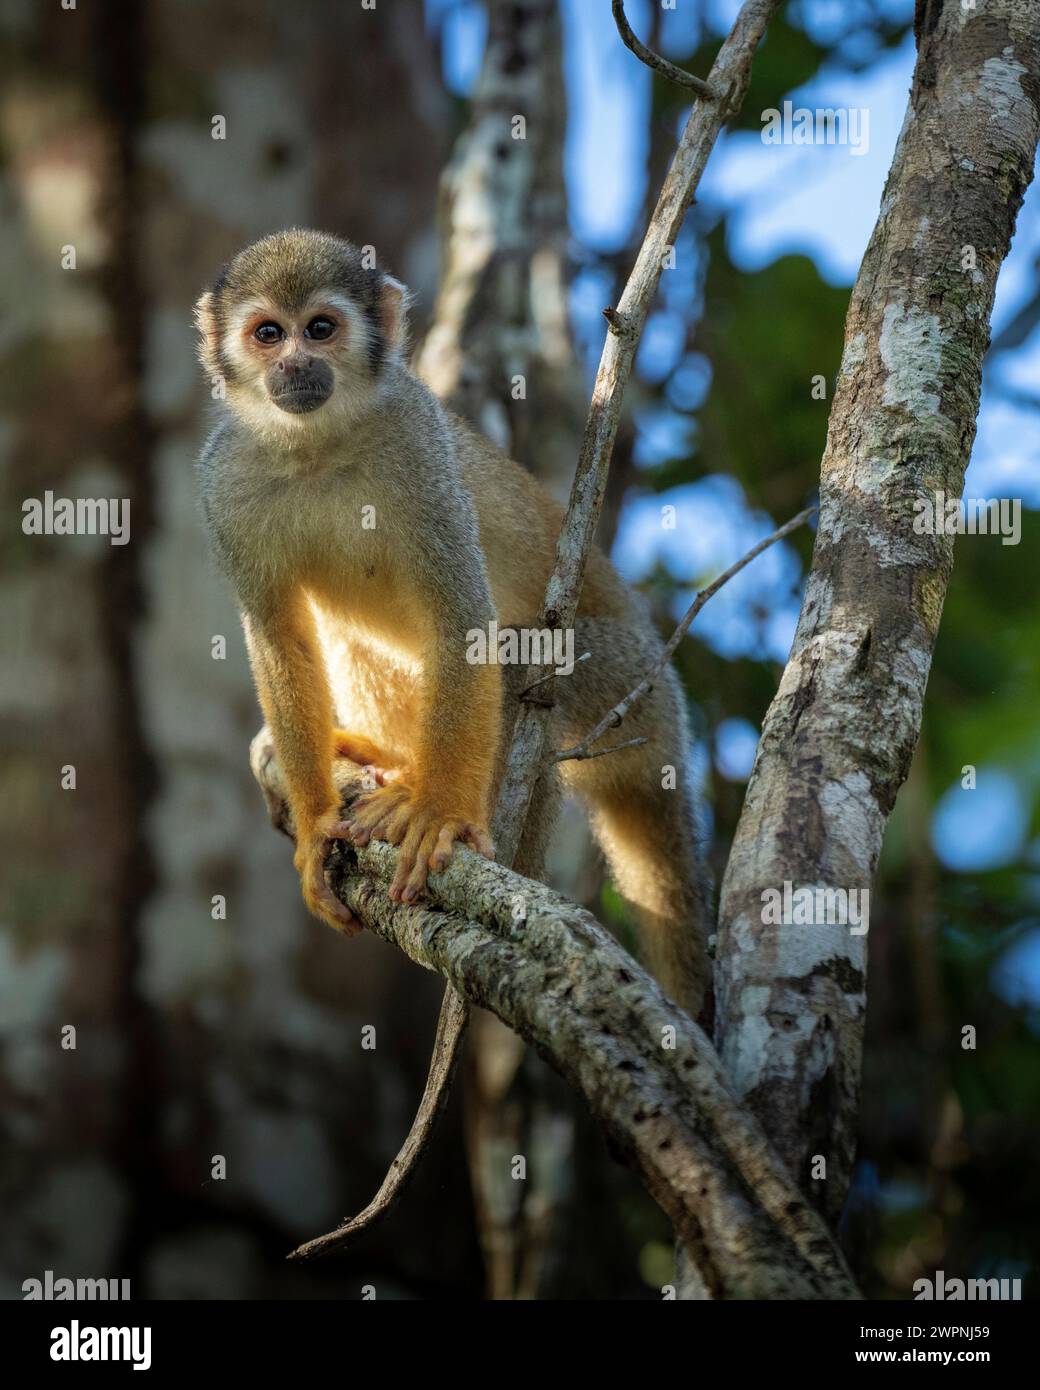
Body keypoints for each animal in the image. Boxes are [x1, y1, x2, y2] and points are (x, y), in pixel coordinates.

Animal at [197, 227, 706, 1011]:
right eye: (268, 334)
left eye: (321, 329)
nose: (296, 365)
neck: (316, 448)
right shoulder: (225, 483)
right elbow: (282, 641)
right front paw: (316, 830)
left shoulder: (418, 444)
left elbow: (463, 619)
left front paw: (440, 816)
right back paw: (391, 760)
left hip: (626, 682)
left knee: (527, 663)